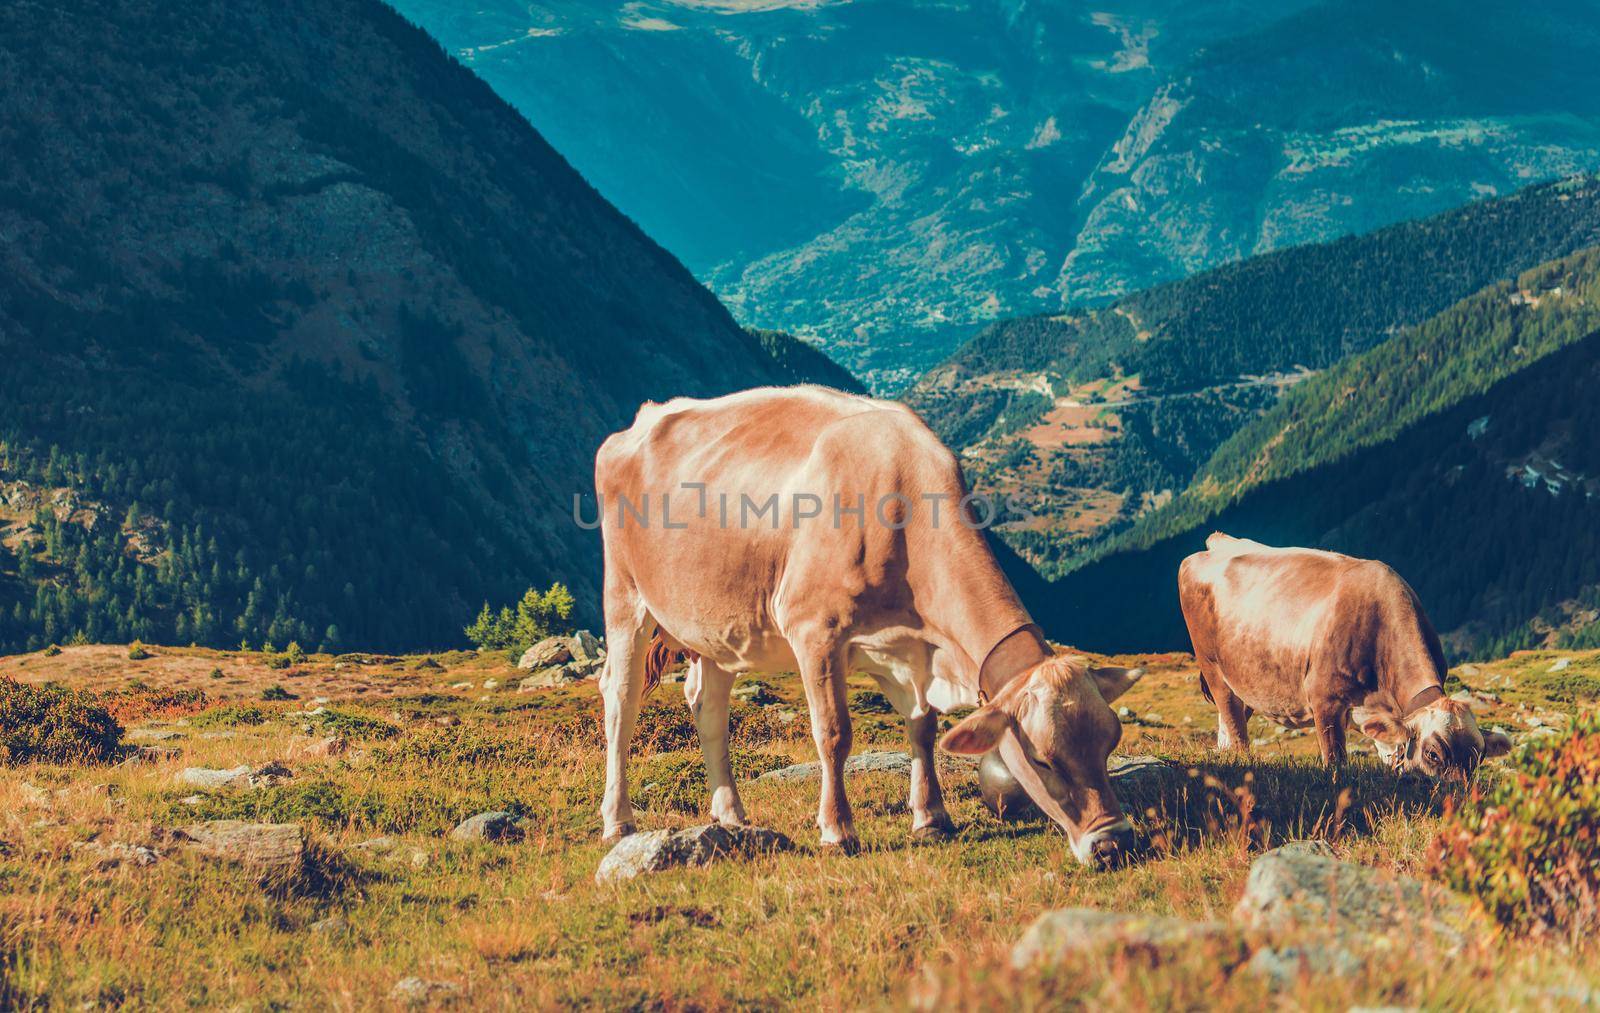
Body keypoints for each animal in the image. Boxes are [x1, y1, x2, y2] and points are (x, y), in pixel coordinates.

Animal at [595, 385, 1145, 864]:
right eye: (1043, 760)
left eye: (1109, 743)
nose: (1114, 842)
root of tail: (640, 422)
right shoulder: (814, 630)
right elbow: (834, 732)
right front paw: (838, 830)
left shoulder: (904, 647)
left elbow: (923, 726)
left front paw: (932, 817)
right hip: (625, 594)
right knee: (621, 698)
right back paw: (618, 821)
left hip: (715, 625)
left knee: (708, 707)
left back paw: (731, 815)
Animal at [1184, 528, 1504, 774]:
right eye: (1433, 754)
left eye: (1479, 757)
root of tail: (1219, 542)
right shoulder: (1324, 700)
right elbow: (1335, 760)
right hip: (1213, 668)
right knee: (1234, 726)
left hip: (1245, 679)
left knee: (1228, 727)